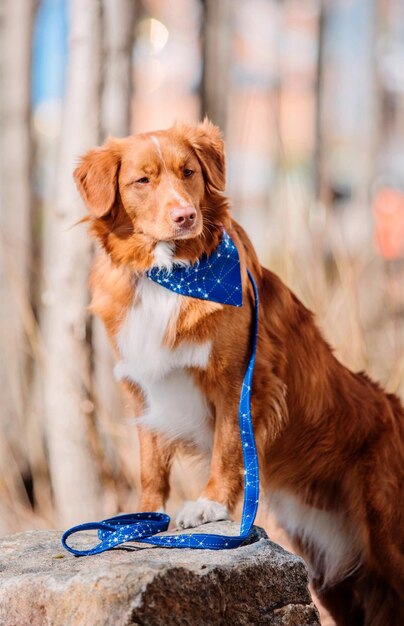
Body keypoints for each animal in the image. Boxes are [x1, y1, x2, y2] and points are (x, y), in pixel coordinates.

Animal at [75, 119, 404, 620]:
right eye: (142, 181)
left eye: (188, 172)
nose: (185, 216)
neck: (170, 274)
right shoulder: (146, 389)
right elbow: (151, 467)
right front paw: (144, 515)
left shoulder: (240, 382)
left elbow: (229, 447)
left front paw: (209, 505)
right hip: (332, 570)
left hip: (387, 538)